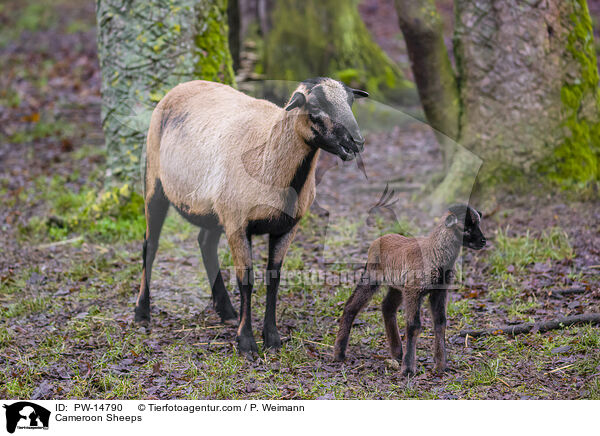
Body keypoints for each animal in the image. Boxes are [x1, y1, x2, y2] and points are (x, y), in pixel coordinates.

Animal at [136, 76, 368, 354]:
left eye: (350, 102)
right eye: (314, 109)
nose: (356, 142)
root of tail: (184, 84)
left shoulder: (287, 227)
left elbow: (274, 279)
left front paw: (272, 338)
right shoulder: (238, 223)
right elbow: (245, 280)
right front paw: (246, 342)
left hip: (216, 209)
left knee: (205, 243)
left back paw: (226, 311)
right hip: (154, 181)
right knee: (150, 245)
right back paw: (142, 313)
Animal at [336, 204, 486, 374]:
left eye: (478, 223)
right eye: (465, 227)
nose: (483, 241)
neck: (434, 253)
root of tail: (380, 238)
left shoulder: (439, 291)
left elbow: (440, 322)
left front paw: (441, 365)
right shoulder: (414, 291)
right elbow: (413, 325)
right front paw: (408, 369)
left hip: (397, 286)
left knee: (387, 307)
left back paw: (397, 353)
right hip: (372, 276)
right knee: (351, 306)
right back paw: (339, 353)